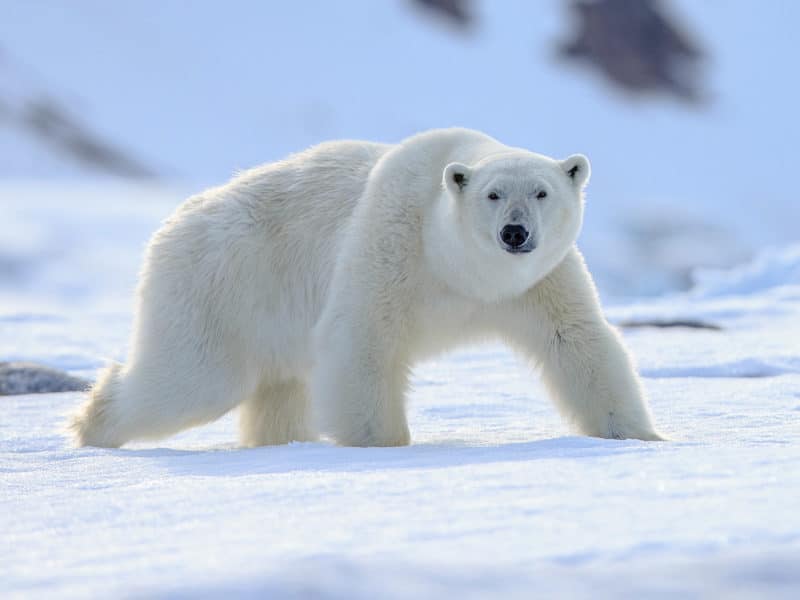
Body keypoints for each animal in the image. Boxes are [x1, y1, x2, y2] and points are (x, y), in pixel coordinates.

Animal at [69, 128, 664, 448]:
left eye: (542, 192)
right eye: (493, 195)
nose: (515, 233)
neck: (461, 270)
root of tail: (173, 223)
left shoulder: (539, 282)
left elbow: (578, 342)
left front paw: (640, 436)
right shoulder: (392, 241)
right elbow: (363, 339)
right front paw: (382, 446)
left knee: (278, 389)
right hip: (220, 284)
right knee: (192, 379)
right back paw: (91, 425)